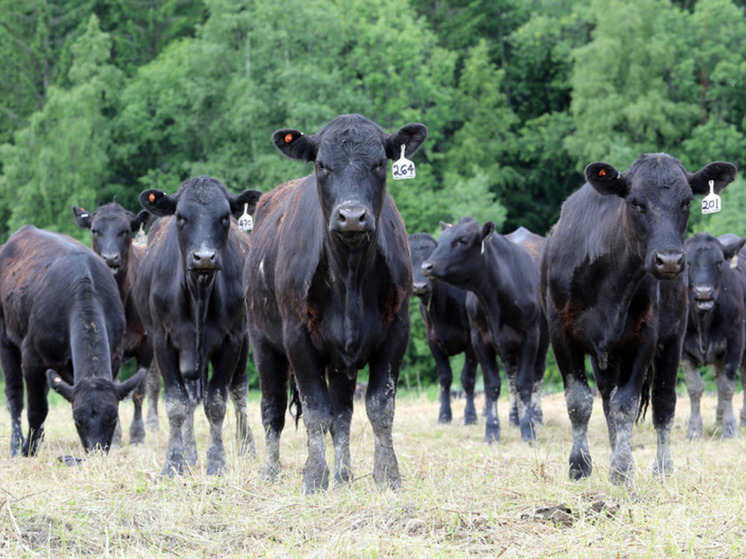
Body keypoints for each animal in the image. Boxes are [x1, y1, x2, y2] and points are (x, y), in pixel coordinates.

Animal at [134, 176, 262, 476]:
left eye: (225, 216)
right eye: (180, 216)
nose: (204, 257)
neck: (199, 295)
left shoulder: (232, 340)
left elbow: (216, 402)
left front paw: (217, 462)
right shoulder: (162, 341)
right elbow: (177, 403)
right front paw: (174, 461)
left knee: (238, 392)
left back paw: (246, 447)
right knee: (192, 397)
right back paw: (190, 453)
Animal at [244, 114, 428, 494]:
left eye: (380, 163)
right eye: (321, 165)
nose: (352, 216)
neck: (350, 278)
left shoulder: (396, 331)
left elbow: (379, 407)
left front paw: (387, 474)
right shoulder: (297, 336)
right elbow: (316, 410)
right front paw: (315, 476)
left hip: (341, 362)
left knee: (342, 414)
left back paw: (343, 476)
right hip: (262, 342)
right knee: (273, 410)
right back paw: (271, 471)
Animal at [406, 232, 476, 424]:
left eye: (431, 258)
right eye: (411, 258)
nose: (420, 286)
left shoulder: (471, 340)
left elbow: (467, 378)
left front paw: (470, 416)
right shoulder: (432, 340)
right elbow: (445, 378)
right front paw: (444, 415)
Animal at [422, 217, 548, 444]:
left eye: (462, 240)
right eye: (440, 240)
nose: (426, 266)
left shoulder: (530, 336)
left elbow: (525, 383)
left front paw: (528, 430)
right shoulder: (479, 339)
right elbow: (492, 385)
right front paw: (492, 429)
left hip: (544, 338)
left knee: (537, 375)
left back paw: (536, 416)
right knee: (511, 376)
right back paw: (514, 417)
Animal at [536, 153, 736, 486]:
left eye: (687, 202)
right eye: (635, 202)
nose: (669, 260)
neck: (609, 283)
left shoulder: (645, 336)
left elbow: (626, 404)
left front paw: (622, 468)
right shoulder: (560, 333)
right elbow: (579, 402)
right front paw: (580, 465)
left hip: (673, 339)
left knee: (664, 403)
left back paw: (663, 466)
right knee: (606, 398)